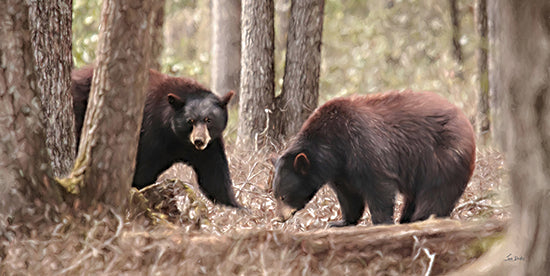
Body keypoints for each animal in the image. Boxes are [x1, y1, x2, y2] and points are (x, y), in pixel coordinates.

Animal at [70, 65, 240, 207]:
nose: (199, 141)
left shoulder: (210, 146)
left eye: (208, 120)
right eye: (190, 120)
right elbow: (142, 169)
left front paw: (236, 206)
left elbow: (214, 175)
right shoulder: (151, 133)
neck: (177, 137)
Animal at [274, 90, 476, 226]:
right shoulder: (341, 170)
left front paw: (381, 222)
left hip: (443, 155)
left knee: (437, 191)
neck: (331, 146)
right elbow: (348, 195)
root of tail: (464, 118)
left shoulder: (361, 145)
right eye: (275, 194)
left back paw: (420, 218)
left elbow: (378, 186)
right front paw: (340, 222)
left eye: (283, 196)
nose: (280, 217)